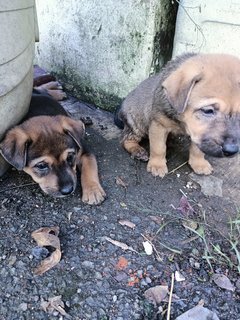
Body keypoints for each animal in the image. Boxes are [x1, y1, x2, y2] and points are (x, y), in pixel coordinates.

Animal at [0, 52, 240, 202]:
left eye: (70, 157)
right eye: (41, 166)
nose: (231, 151)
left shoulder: (84, 153)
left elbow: (198, 147)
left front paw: (199, 164)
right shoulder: (158, 124)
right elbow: (158, 147)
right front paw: (157, 165)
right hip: (137, 122)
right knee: (127, 139)